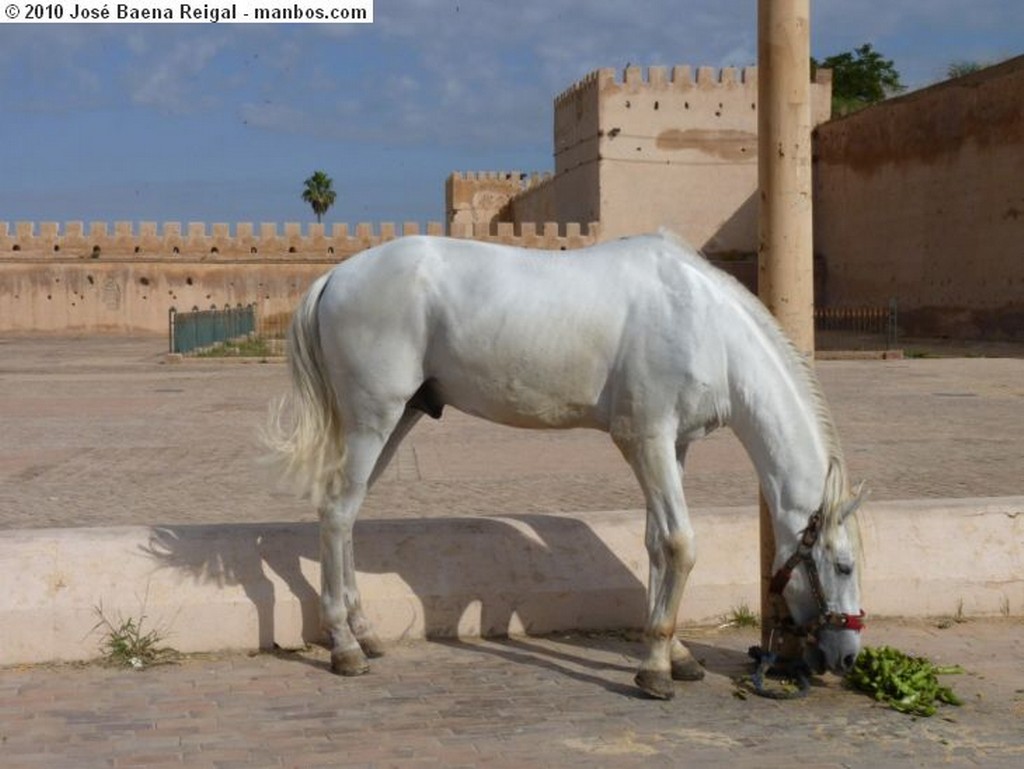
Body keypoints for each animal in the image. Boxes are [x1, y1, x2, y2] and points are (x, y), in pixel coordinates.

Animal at [266, 228, 864, 696]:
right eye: (843, 565)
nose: (848, 656)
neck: (704, 323)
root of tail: (335, 276)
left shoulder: (675, 446)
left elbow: (655, 544)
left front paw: (676, 656)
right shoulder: (644, 439)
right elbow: (679, 543)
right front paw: (655, 670)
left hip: (400, 417)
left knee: (348, 512)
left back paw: (365, 633)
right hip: (374, 418)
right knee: (338, 511)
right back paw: (345, 648)